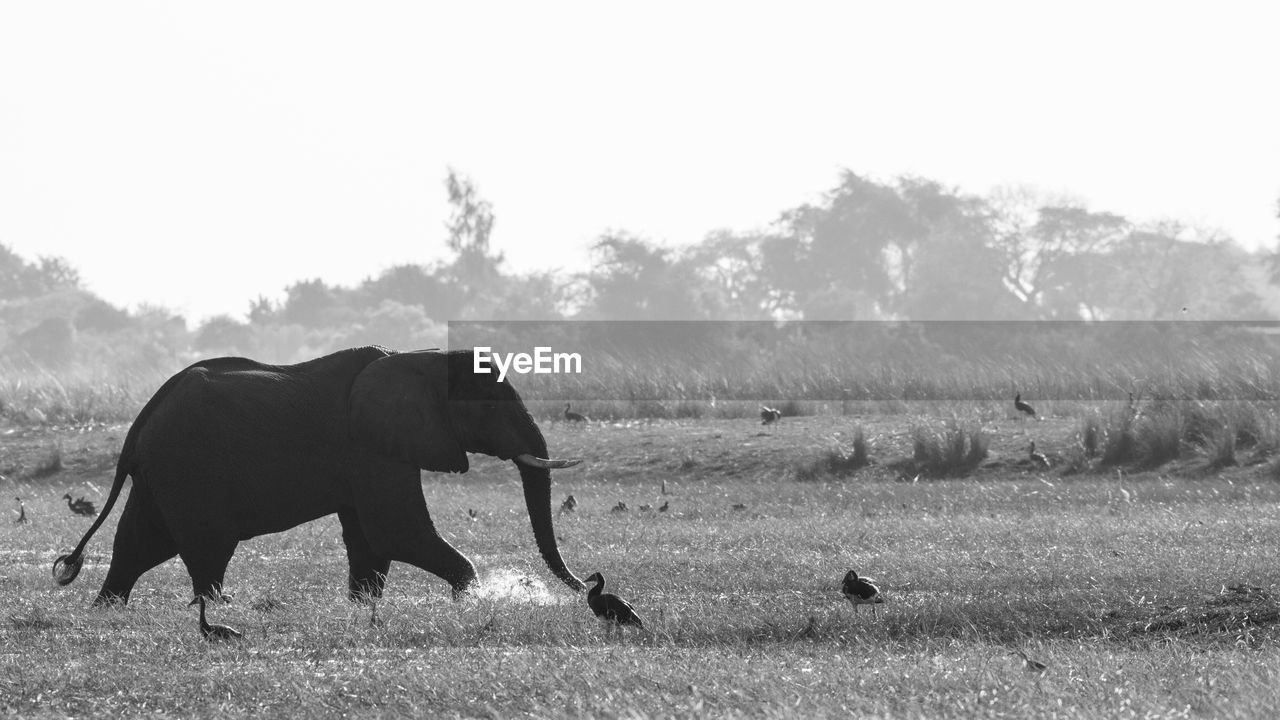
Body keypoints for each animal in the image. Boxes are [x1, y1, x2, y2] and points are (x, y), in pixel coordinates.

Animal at [52, 345, 586, 602]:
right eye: (490, 405)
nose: (587, 586)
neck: (420, 359)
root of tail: (142, 417)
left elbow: (370, 540)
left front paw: (361, 608)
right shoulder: (370, 445)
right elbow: (396, 530)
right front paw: (470, 597)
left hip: (163, 472)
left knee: (139, 543)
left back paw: (107, 610)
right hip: (188, 468)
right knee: (206, 547)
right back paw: (218, 610)